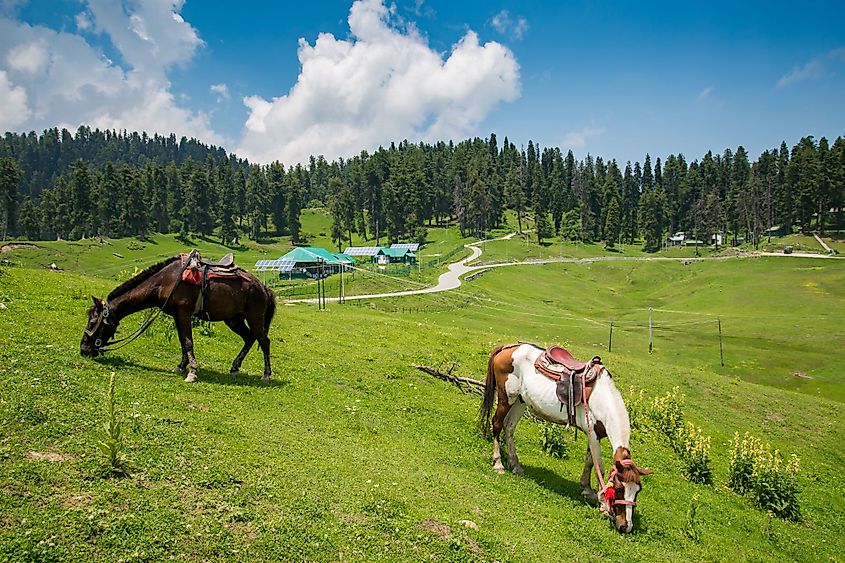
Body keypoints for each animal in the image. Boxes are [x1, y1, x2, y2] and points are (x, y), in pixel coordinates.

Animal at [80, 254, 276, 384]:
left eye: (93, 322)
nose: (83, 349)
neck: (165, 281)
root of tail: (264, 288)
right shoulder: (176, 315)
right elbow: (183, 341)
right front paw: (181, 366)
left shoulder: (183, 313)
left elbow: (188, 342)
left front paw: (192, 372)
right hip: (234, 320)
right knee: (249, 338)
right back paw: (235, 368)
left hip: (254, 318)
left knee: (264, 341)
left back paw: (266, 375)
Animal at [482, 344, 652, 532]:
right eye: (620, 489)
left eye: (637, 491)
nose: (625, 526)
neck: (601, 398)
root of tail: (509, 347)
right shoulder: (593, 433)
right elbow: (598, 466)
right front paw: (602, 504)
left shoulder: (595, 435)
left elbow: (589, 461)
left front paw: (587, 489)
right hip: (506, 398)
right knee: (497, 424)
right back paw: (498, 464)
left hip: (520, 401)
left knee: (509, 427)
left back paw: (516, 465)